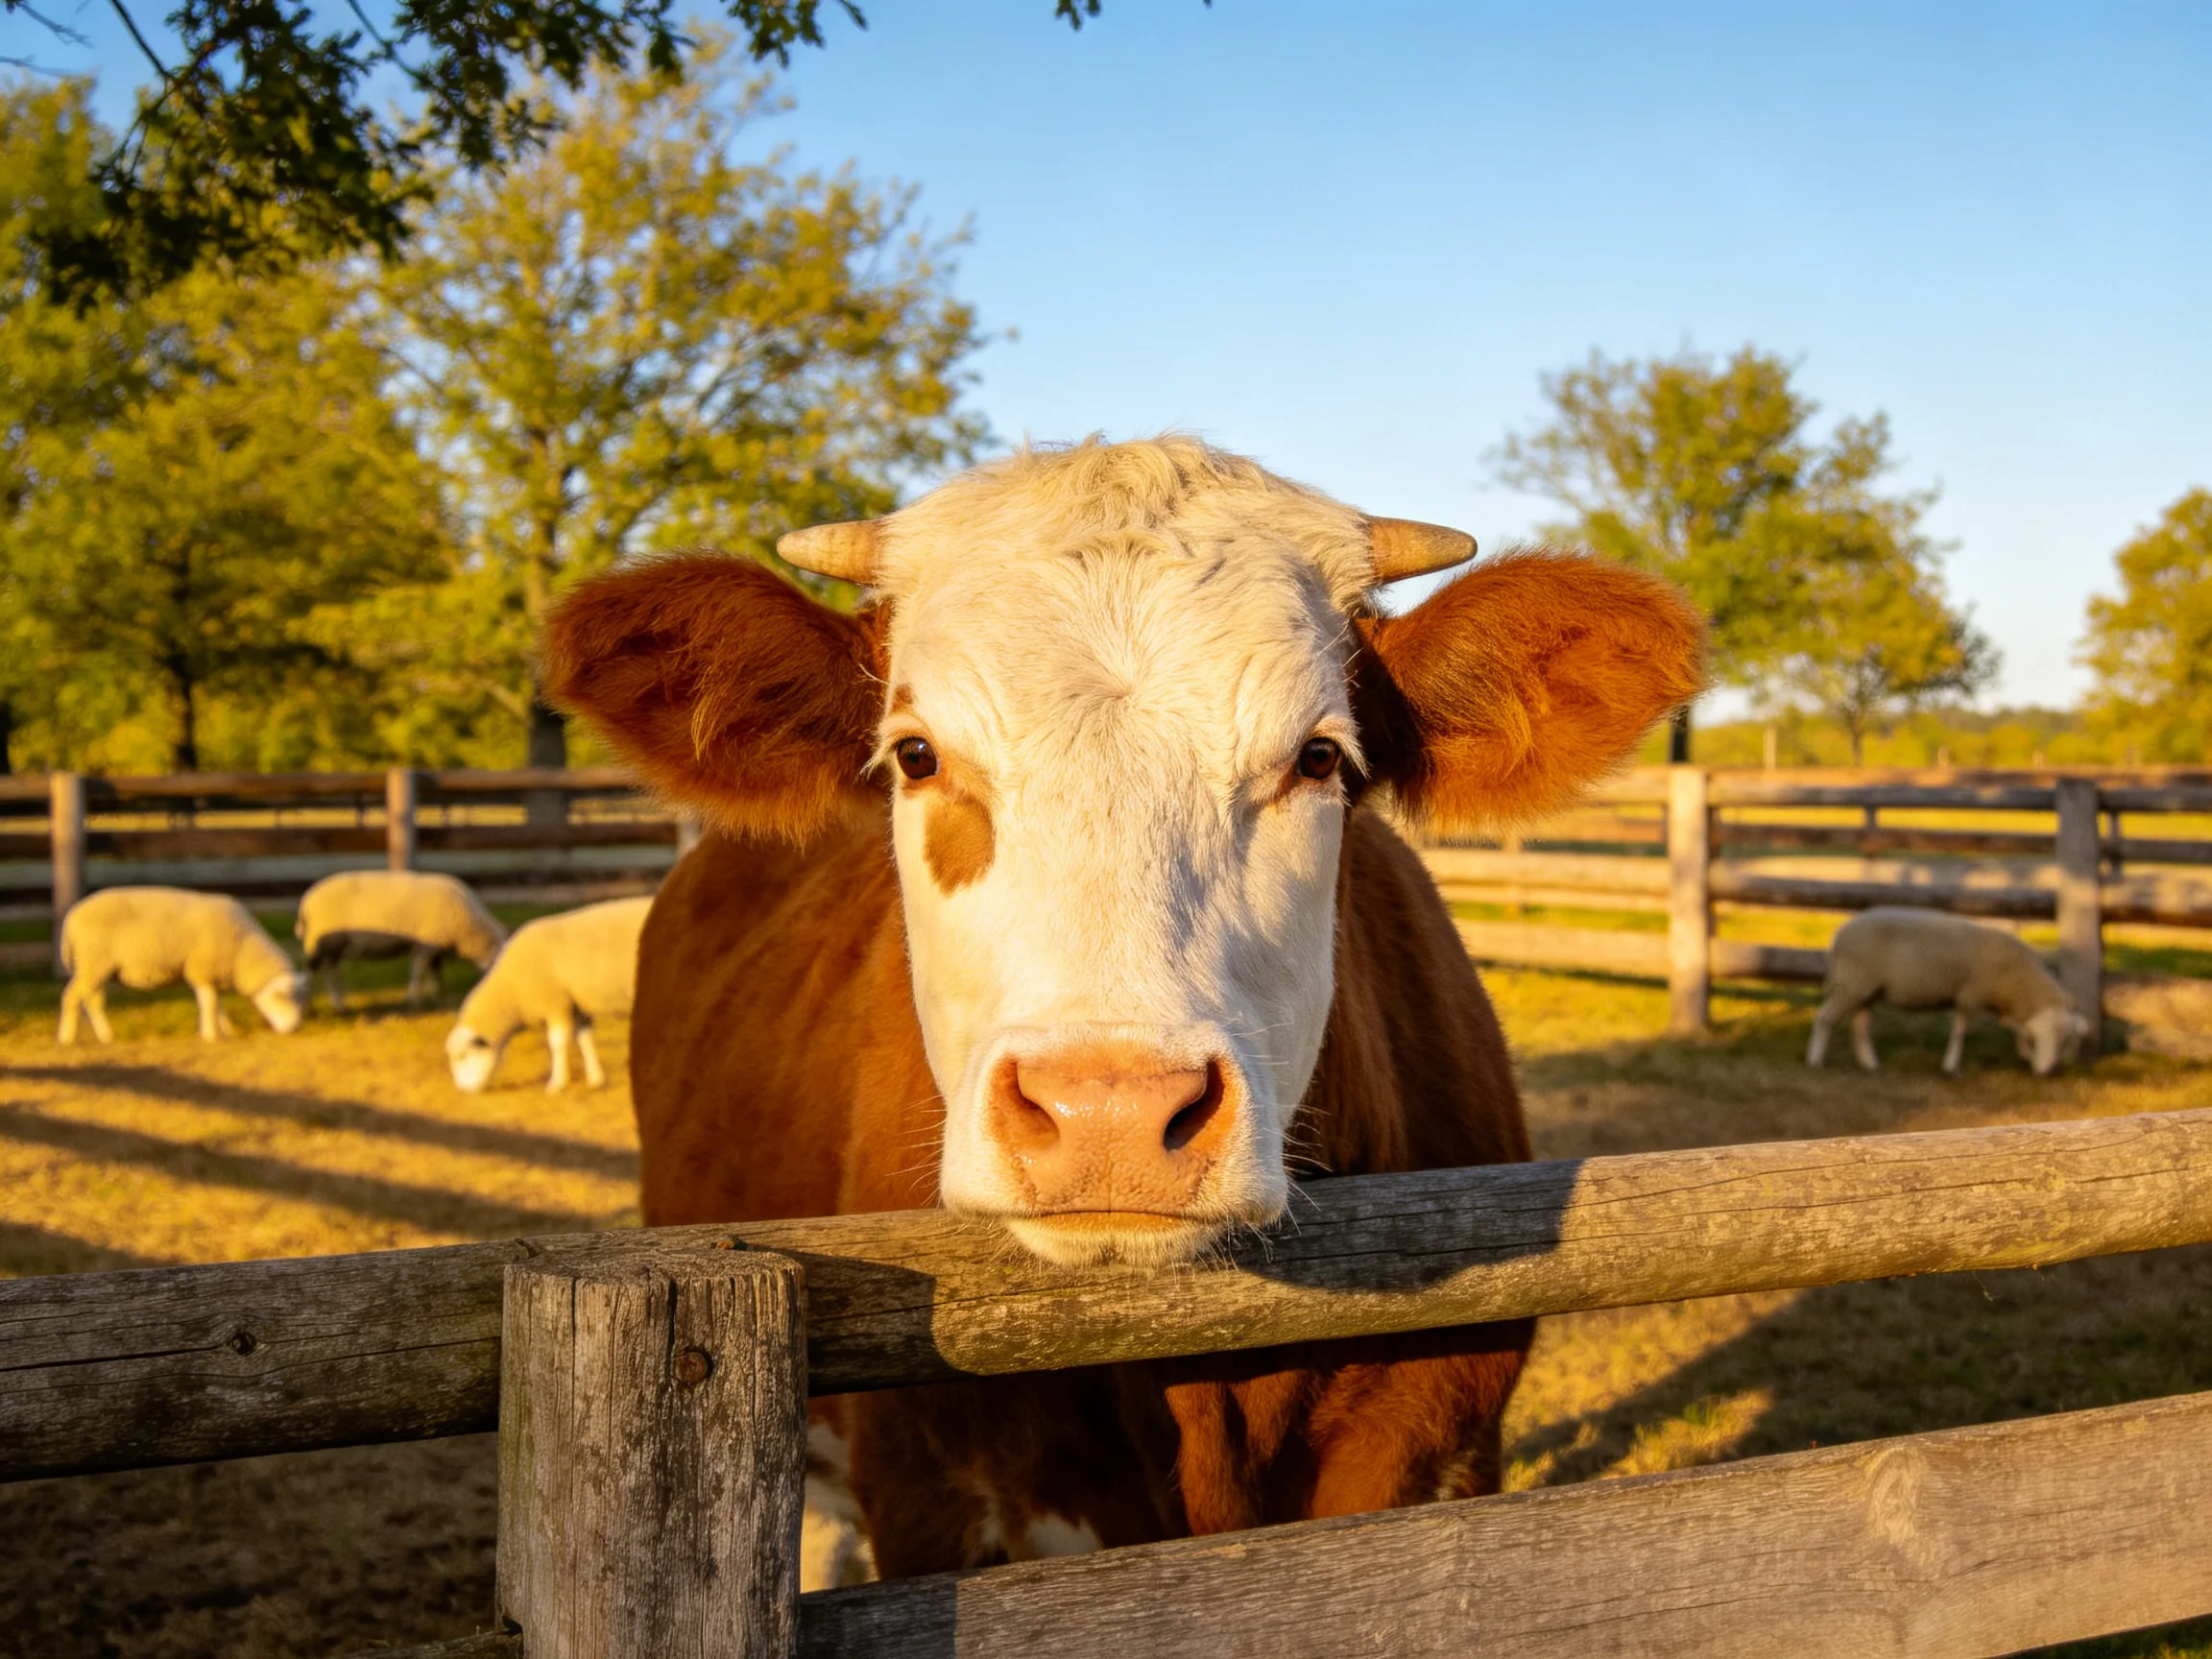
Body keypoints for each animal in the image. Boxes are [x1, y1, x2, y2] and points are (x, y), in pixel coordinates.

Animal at [58, 887, 307, 1044]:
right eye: (281, 997)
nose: (296, 1029)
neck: (242, 947)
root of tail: (71, 917)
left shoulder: (214, 972)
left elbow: (218, 1004)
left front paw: (226, 1030)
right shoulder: (201, 970)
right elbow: (209, 1003)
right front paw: (210, 1035)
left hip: (95, 968)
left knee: (87, 998)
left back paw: (95, 1036)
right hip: (94, 963)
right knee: (77, 998)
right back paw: (78, 1037)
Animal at [296, 870, 507, 1011]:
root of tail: (306, 902)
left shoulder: (435, 948)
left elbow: (436, 974)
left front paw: (439, 996)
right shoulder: (424, 946)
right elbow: (417, 973)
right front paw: (413, 1000)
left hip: (334, 947)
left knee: (330, 971)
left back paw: (338, 1003)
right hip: (325, 944)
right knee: (313, 970)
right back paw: (312, 1004)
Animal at [445, 896, 651, 1092]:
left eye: (463, 1056)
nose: (463, 1090)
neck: (511, 991)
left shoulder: (555, 1002)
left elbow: (557, 1043)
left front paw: (557, 1084)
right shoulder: (576, 1006)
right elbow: (584, 1039)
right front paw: (596, 1079)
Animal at [1807, 907, 2095, 1077]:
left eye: (2064, 1040)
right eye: (2042, 1038)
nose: (2047, 1073)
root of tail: (1839, 935)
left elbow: (2016, 1030)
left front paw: (2026, 1053)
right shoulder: (1969, 995)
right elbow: (1960, 1032)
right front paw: (1951, 1066)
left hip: (1866, 991)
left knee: (1859, 1027)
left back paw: (1869, 1063)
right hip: (1850, 984)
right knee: (1824, 1019)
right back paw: (1815, 1060)